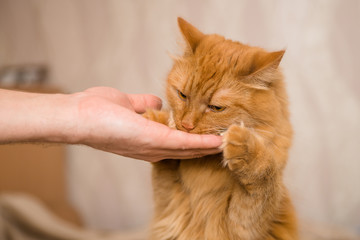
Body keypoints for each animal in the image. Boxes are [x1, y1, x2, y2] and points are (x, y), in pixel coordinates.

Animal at [145, 18, 296, 240]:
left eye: (216, 108)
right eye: (182, 95)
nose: (186, 125)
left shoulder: (243, 226)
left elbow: (263, 179)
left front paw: (244, 146)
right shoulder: (168, 207)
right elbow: (164, 168)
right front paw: (159, 120)